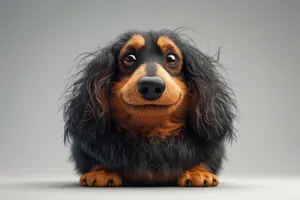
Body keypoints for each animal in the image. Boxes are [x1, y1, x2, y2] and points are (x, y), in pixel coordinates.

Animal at [62, 28, 237, 187]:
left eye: (172, 58)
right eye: (129, 58)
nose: (151, 86)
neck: (151, 132)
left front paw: (197, 172)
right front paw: (102, 172)